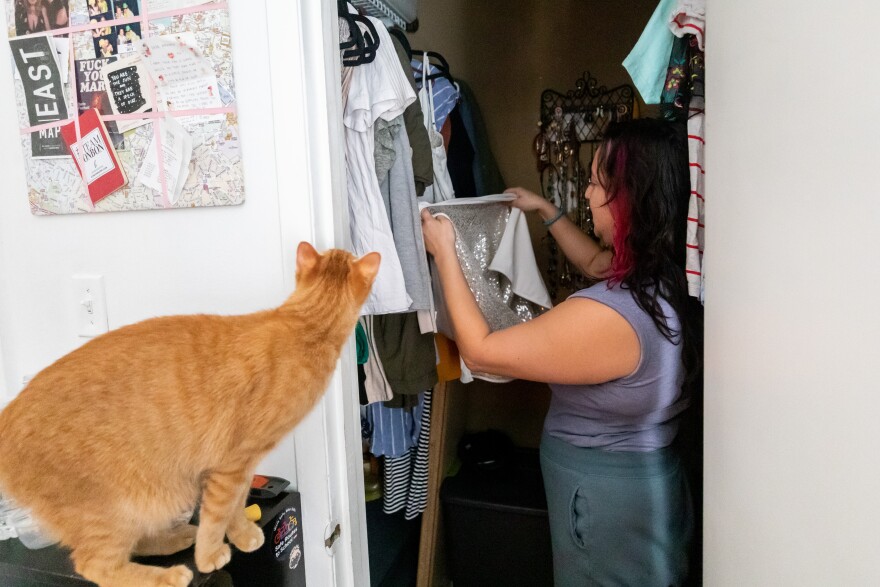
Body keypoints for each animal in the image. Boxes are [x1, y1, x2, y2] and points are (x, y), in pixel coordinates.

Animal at [0, 241, 376, 584]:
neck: (306, 327)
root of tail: (7, 417)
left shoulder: (241, 466)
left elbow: (235, 505)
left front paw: (241, 534)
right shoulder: (231, 463)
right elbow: (216, 514)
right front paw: (209, 556)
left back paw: (178, 538)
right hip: (119, 510)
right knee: (96, 565)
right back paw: (168, 575)